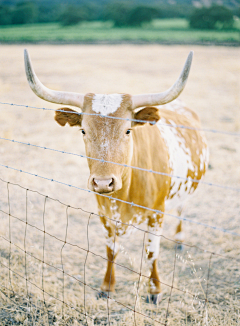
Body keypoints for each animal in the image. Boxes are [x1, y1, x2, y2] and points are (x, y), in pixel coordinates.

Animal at [23, 49, 208, 304]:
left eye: (128, 130)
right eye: (83, 130)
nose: (103, 182)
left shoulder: (157, 213)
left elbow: (152, 252)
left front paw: (154, 289)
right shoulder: (104, 213)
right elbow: (111, 250)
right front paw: (107, 286)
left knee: (181, 209)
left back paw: (179, 240)